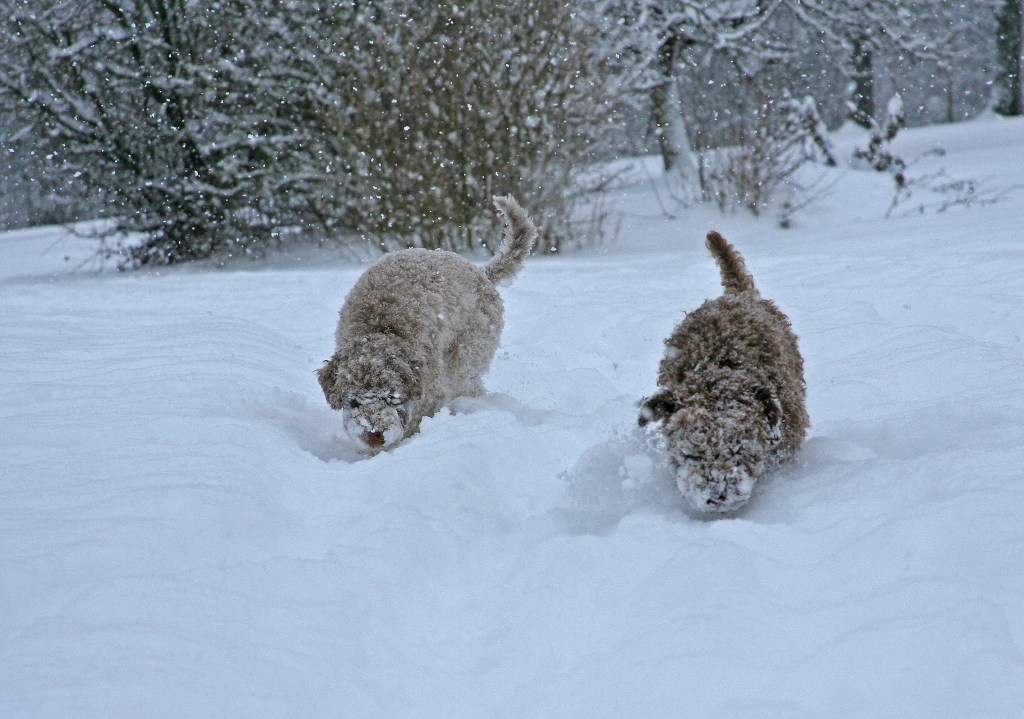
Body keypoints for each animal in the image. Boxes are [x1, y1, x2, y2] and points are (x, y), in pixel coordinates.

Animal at [319, 194, 536, 452]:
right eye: (353, 401)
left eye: (392, 397)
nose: (374, 436)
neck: (380, 326)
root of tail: (481, 272)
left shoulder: (429, 387)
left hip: (468, 354)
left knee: (468, 384)